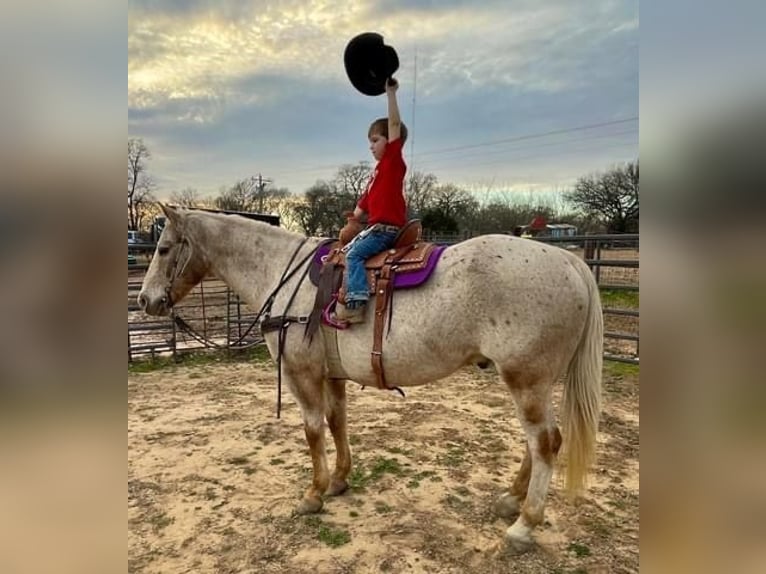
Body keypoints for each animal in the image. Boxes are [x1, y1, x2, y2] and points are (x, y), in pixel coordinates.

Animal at [140, 205, 608, 556]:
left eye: (163, 248)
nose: (145, 301)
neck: (282, 274)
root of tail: (569, 261)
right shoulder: (332, 374)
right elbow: (337, 422)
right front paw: (339, 480)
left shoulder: (301, 373)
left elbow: (313, 430)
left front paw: (313, 493)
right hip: (531, 382)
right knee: (538, 441)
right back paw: (511, 500)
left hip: (525, 379)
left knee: (544, 442)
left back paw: (523, 527)